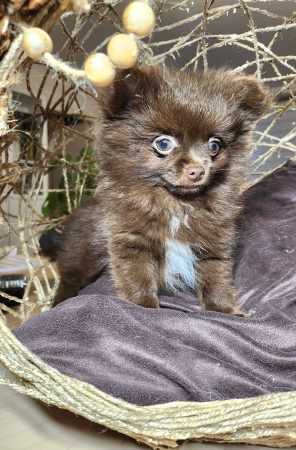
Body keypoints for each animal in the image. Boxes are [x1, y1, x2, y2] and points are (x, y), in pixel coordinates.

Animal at [53, 66, 270, 312]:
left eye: (214, 145)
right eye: (163, 144)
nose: (197, 170)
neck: (176, 205)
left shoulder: (215, 241)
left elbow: (216, 276)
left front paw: (223, 309)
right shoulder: (131, 241)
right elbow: (138, 278)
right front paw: (143, 306)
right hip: (80, 254)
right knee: (69, 278)